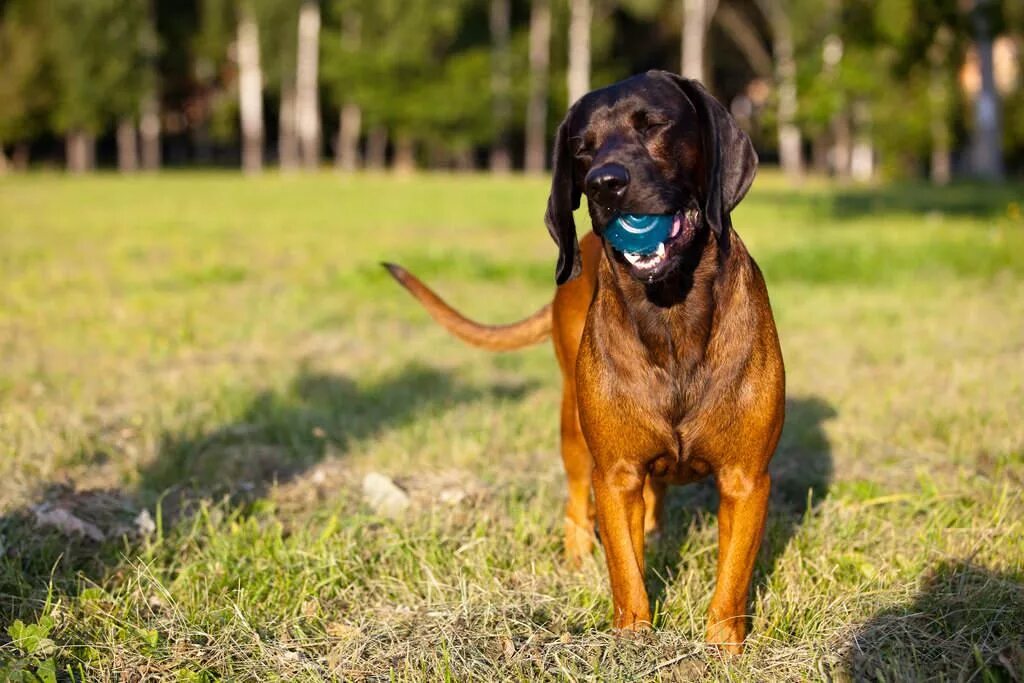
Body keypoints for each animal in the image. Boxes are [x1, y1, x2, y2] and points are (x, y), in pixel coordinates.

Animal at [385, 72, 782, 655]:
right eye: (580, 149)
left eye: (654, 124)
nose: (604, 184)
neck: (672, 316)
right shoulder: (613, 475)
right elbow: (627, 573)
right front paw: (633, 643)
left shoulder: (746, 478)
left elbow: (731, 579)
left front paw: (721, 649)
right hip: (573, 426)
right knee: (577, 503)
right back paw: (577, 560)